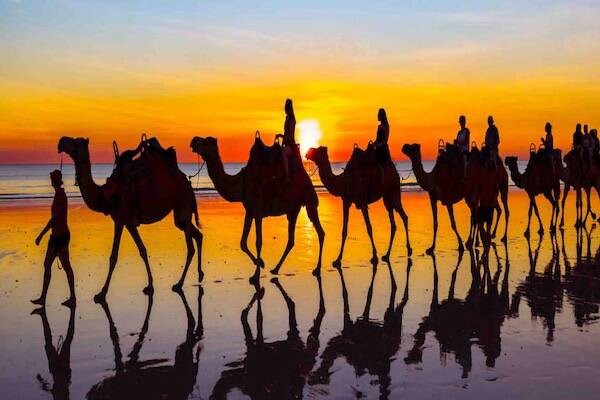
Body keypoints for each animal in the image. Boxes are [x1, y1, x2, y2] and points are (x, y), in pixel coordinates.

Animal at [58, 138, 204, 300]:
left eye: (76, 142)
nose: (61, 141)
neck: (104, 195)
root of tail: (187, 182)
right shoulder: (128, 223)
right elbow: (142, 250)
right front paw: (149, 286)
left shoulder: (120, 220)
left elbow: (114, 256)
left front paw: (102, 293)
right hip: (181, 211)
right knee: (196, 235)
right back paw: (196, 276)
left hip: (182, 202)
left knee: (191, 243)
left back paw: (179, 283)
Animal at [191, 136, 326, 280]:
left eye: (205, 142)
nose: (193, 140)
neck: (241, 183)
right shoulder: (249, 211)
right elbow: (243, 243)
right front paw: (260, 263)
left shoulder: (258, 211)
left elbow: (258, 241)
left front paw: (256, 274)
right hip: (293, 209)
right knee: (291, 240)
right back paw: (275, 269)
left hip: (310, 202)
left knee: (320, 232)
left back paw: (317, 269)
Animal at [310, 258, 412, 398]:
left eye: (321, 378)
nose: (310, 378)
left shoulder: (353, 327)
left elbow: (349, 296)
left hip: (391, 323)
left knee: (399, 305)